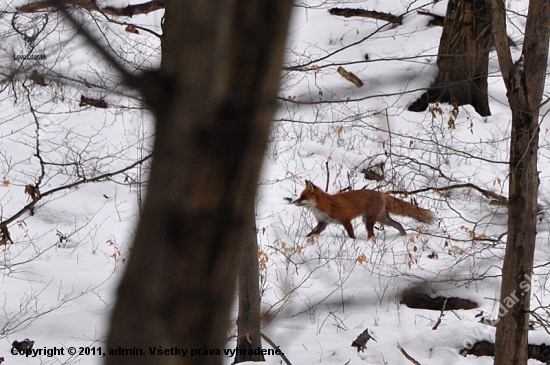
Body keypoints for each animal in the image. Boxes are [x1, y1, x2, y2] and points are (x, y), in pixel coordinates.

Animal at [294, 180, 436, 239]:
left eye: (303, 197)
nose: (294, 201)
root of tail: (382, 193)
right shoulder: (322, 223)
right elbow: (311, 234)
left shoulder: (346, 220)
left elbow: (351, 235)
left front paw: (353, 242)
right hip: (381, 218)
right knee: (399, 225)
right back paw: (403, 236)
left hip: (369, 220)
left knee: (372, 234)